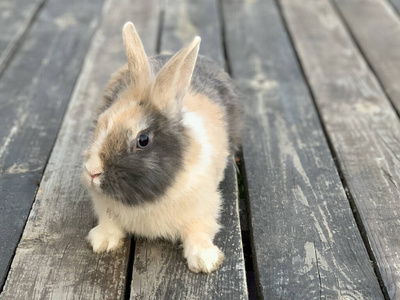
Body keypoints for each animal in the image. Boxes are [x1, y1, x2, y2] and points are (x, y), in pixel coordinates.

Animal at [79, 21, 239, 274]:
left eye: (143, 140)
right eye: (101, 121)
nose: (93, 171)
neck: (146, 200)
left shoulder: (204, 207)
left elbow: (199, 232)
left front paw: (205, 260)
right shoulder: (105, 207)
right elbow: (109, 222)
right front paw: (102, 242)